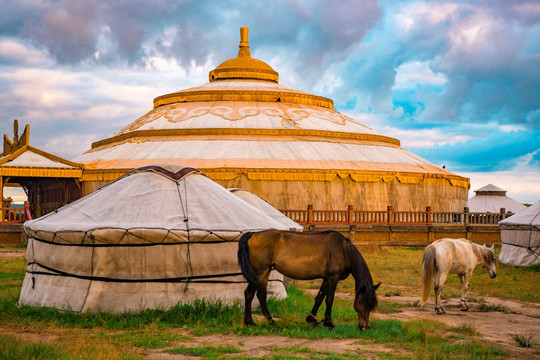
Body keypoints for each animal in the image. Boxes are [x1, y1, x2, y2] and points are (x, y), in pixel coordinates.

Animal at [236, 231, 380, 330]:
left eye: (371, 305)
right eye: (360, 302)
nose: (365, 327)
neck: (345, 250)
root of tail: (253, 234)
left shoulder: (327, 278)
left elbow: (320, 297)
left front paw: (312, 319)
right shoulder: (333, 278)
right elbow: (329, 299)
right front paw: (329, 323)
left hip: (264, 272)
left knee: (255, 294)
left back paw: (254, 321)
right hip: (260, 272)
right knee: (253, 294)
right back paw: (263, 321)